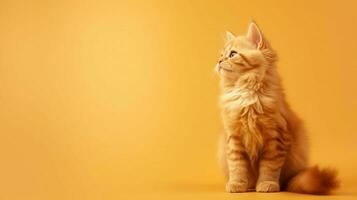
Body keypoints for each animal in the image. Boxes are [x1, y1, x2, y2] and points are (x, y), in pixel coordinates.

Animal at [216, 21, 338, 194]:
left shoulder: (276, 137)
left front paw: (267, 184)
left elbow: (269, 167)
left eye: (232, 54)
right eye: (221, 55)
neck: (246, 93)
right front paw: (237, 184)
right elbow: (237, 166)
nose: (218, 61)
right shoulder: (233, 137)